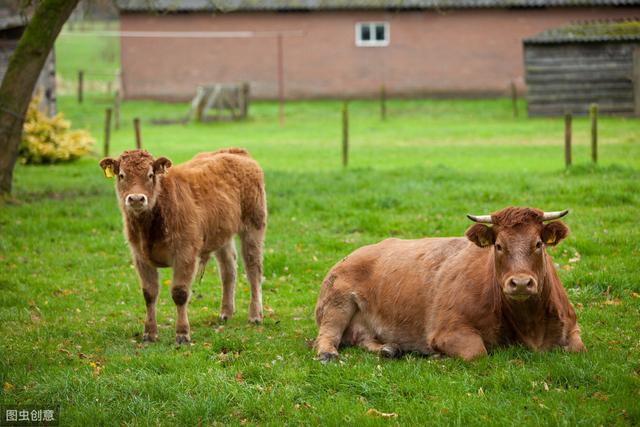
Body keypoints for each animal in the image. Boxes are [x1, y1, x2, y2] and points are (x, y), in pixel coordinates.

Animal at [101, 150, 266, 344]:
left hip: (254, 225)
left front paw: (182, 334)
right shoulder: (140, 257)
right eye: (121, 175)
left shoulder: (185, 254)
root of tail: (236, 152)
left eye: (150, 174)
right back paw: (226, 313)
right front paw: (149, 333)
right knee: (228, 270)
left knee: (253, 269)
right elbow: (149, 294)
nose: (136, 199)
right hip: (221, 234)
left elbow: (179, 293)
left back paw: (255, 315)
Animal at [316, 206, 584, 362]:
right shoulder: (449, 329)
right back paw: (327, 354)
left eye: (538, 244)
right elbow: (477, 353)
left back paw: (389, 349)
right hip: (337, 303)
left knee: (362, 338)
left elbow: (577, 348)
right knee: (328, 335)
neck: (530, 325)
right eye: (498, 245)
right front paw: (437, 356)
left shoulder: (572, 328)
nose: (519, 283)